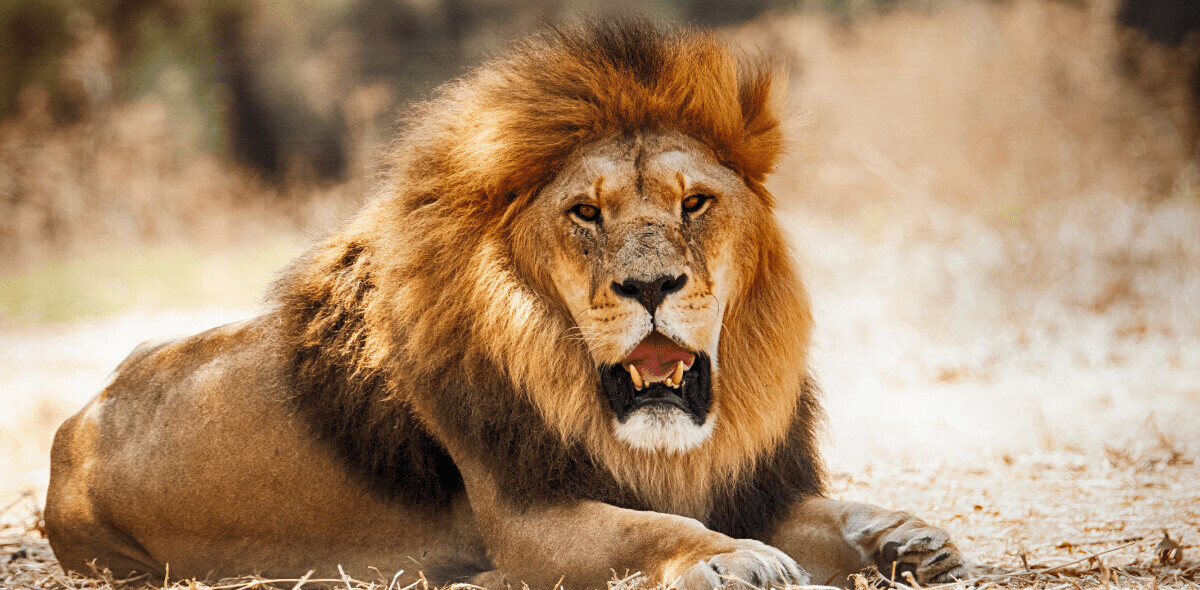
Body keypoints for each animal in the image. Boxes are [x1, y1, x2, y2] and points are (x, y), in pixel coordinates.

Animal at [45, 21, 969, 589]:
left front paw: (906, 537)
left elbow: (833, 507)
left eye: (695, 204)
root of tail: (77, 424)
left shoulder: (749, 482)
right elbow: (651, 529)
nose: (650, 288)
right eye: (586, 213)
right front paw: (734, 558)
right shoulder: (529, 519)